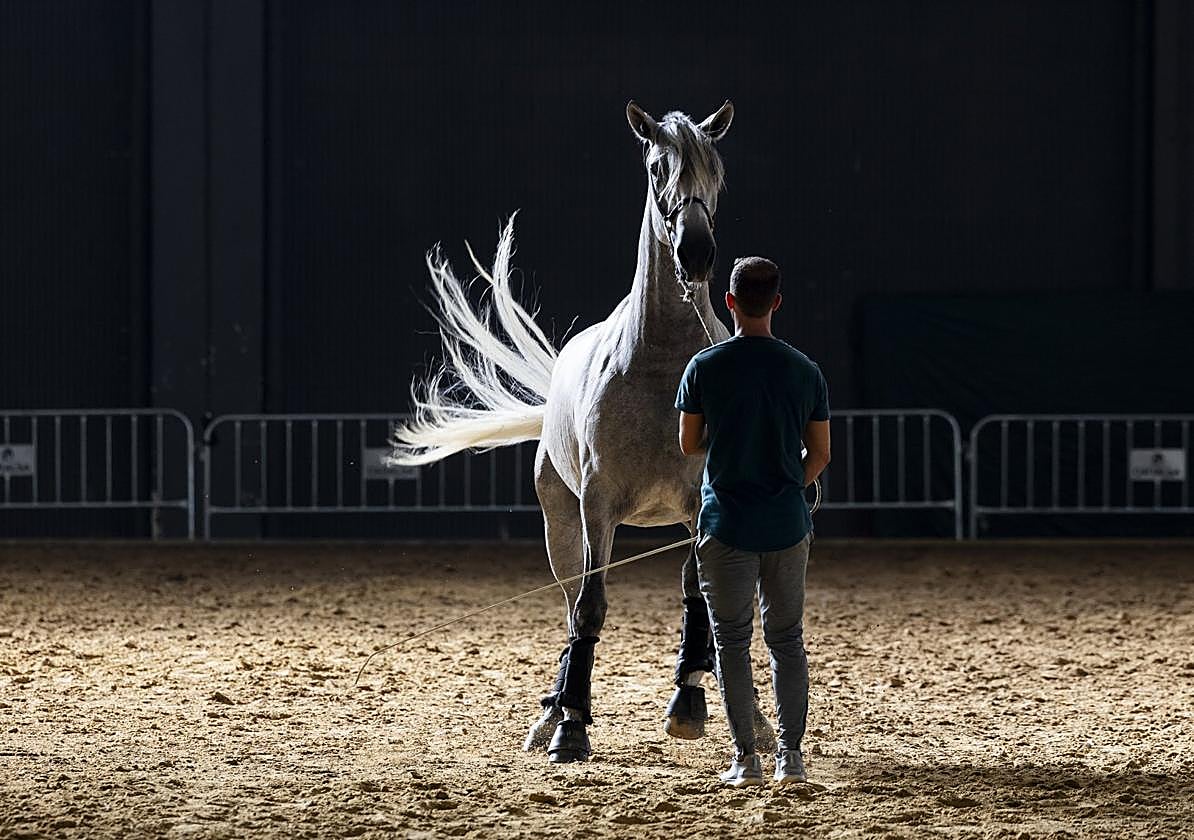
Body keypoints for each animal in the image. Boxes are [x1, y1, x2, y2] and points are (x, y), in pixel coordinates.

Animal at [391, 101, 775, 763]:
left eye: (718, 172)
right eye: (657, 167)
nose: (696, 253)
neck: (658, 365)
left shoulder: (698, 507)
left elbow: (696, 594)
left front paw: (690, 700)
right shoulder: (599, 506)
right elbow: (590, 609)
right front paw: (571, 726)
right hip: (561, 524)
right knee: (573, 605)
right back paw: (553, 712)